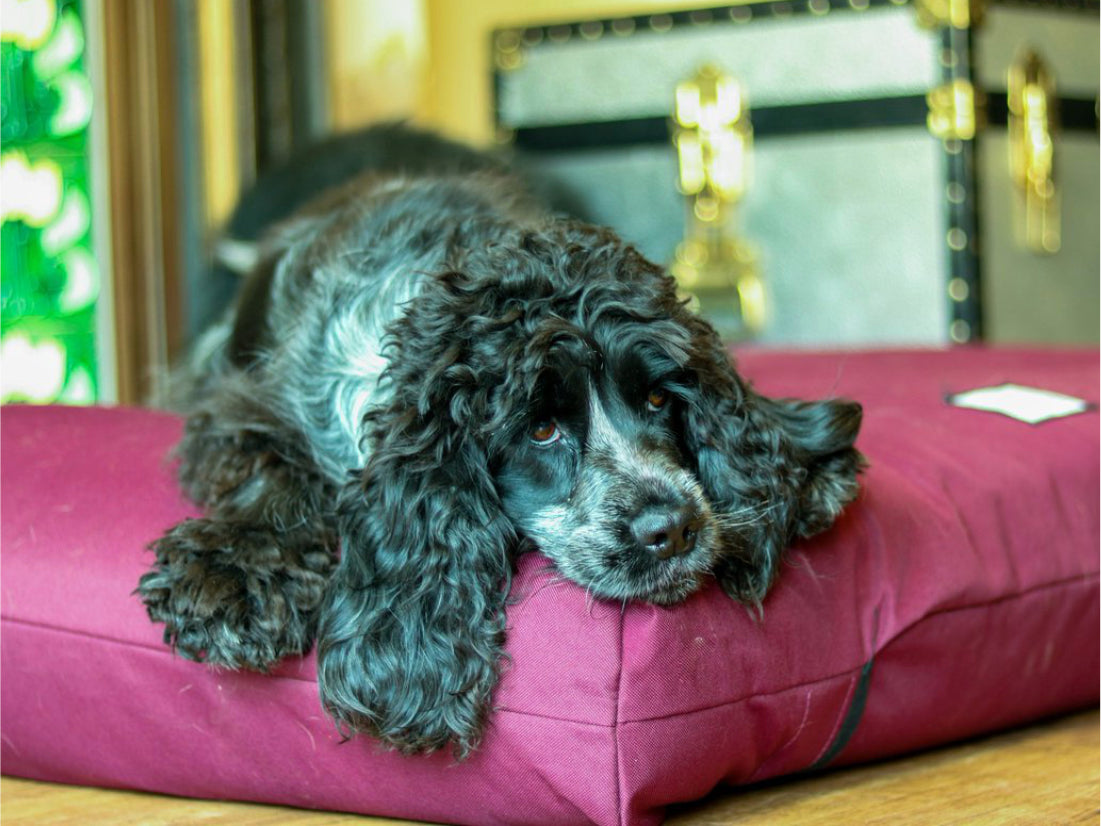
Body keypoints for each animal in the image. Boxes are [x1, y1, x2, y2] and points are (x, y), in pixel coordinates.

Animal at [135, 122, 858, 757]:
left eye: (658, 398)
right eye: (539, 429)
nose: (672, 529)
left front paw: (800, 470)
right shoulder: (240, 405)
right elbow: (272, 469)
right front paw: (229, 574)